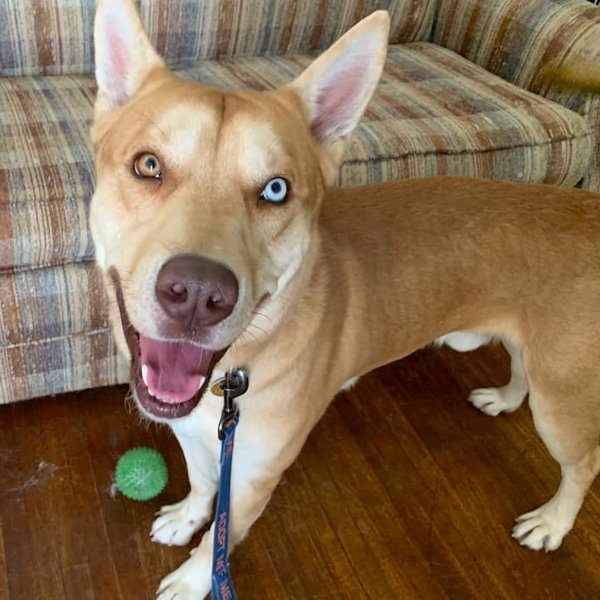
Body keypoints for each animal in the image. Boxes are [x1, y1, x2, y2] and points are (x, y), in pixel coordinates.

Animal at [90, 2, 600, 596]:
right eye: (148, 165)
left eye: (276, 190)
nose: (197, 294)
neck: (231, 377)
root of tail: (588, 208)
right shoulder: (196, 435)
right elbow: (200, 485)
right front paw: (188, 518)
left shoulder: (256, 474)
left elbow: (223, 530)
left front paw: (197, 578)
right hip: (538, 358)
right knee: (521, 363)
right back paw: (506, 397)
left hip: (563, 401)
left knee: (583, 464)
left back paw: (553, 522)